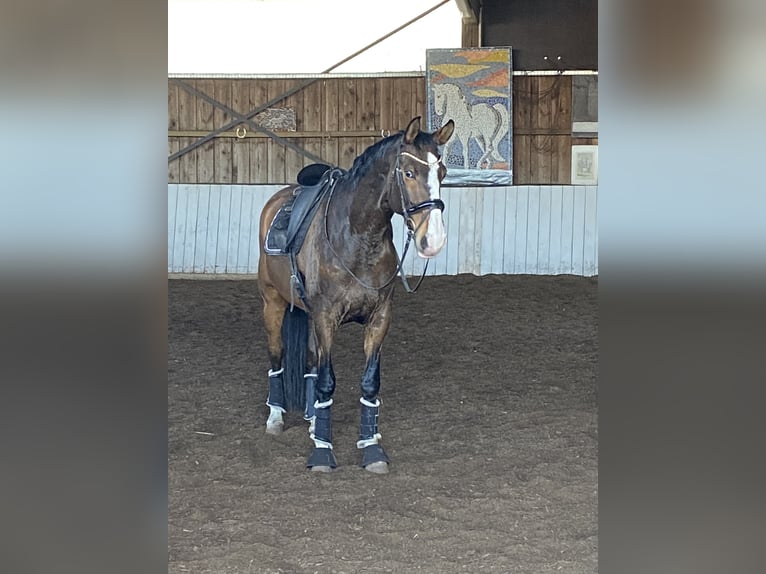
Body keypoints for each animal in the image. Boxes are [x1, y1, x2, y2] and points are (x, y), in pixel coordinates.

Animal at [258, 116, 452, 472]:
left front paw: (371, 447)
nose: (433, 240)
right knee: (277, 353)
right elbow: (327, 381)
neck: (357, 237)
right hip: (272, 302)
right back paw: (276, 416)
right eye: (408, 173)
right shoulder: (325, 317)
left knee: (310, 360)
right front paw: (322, 451)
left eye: (442, 173)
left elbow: (369, 382)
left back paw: (311, 419)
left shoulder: (379, 318)